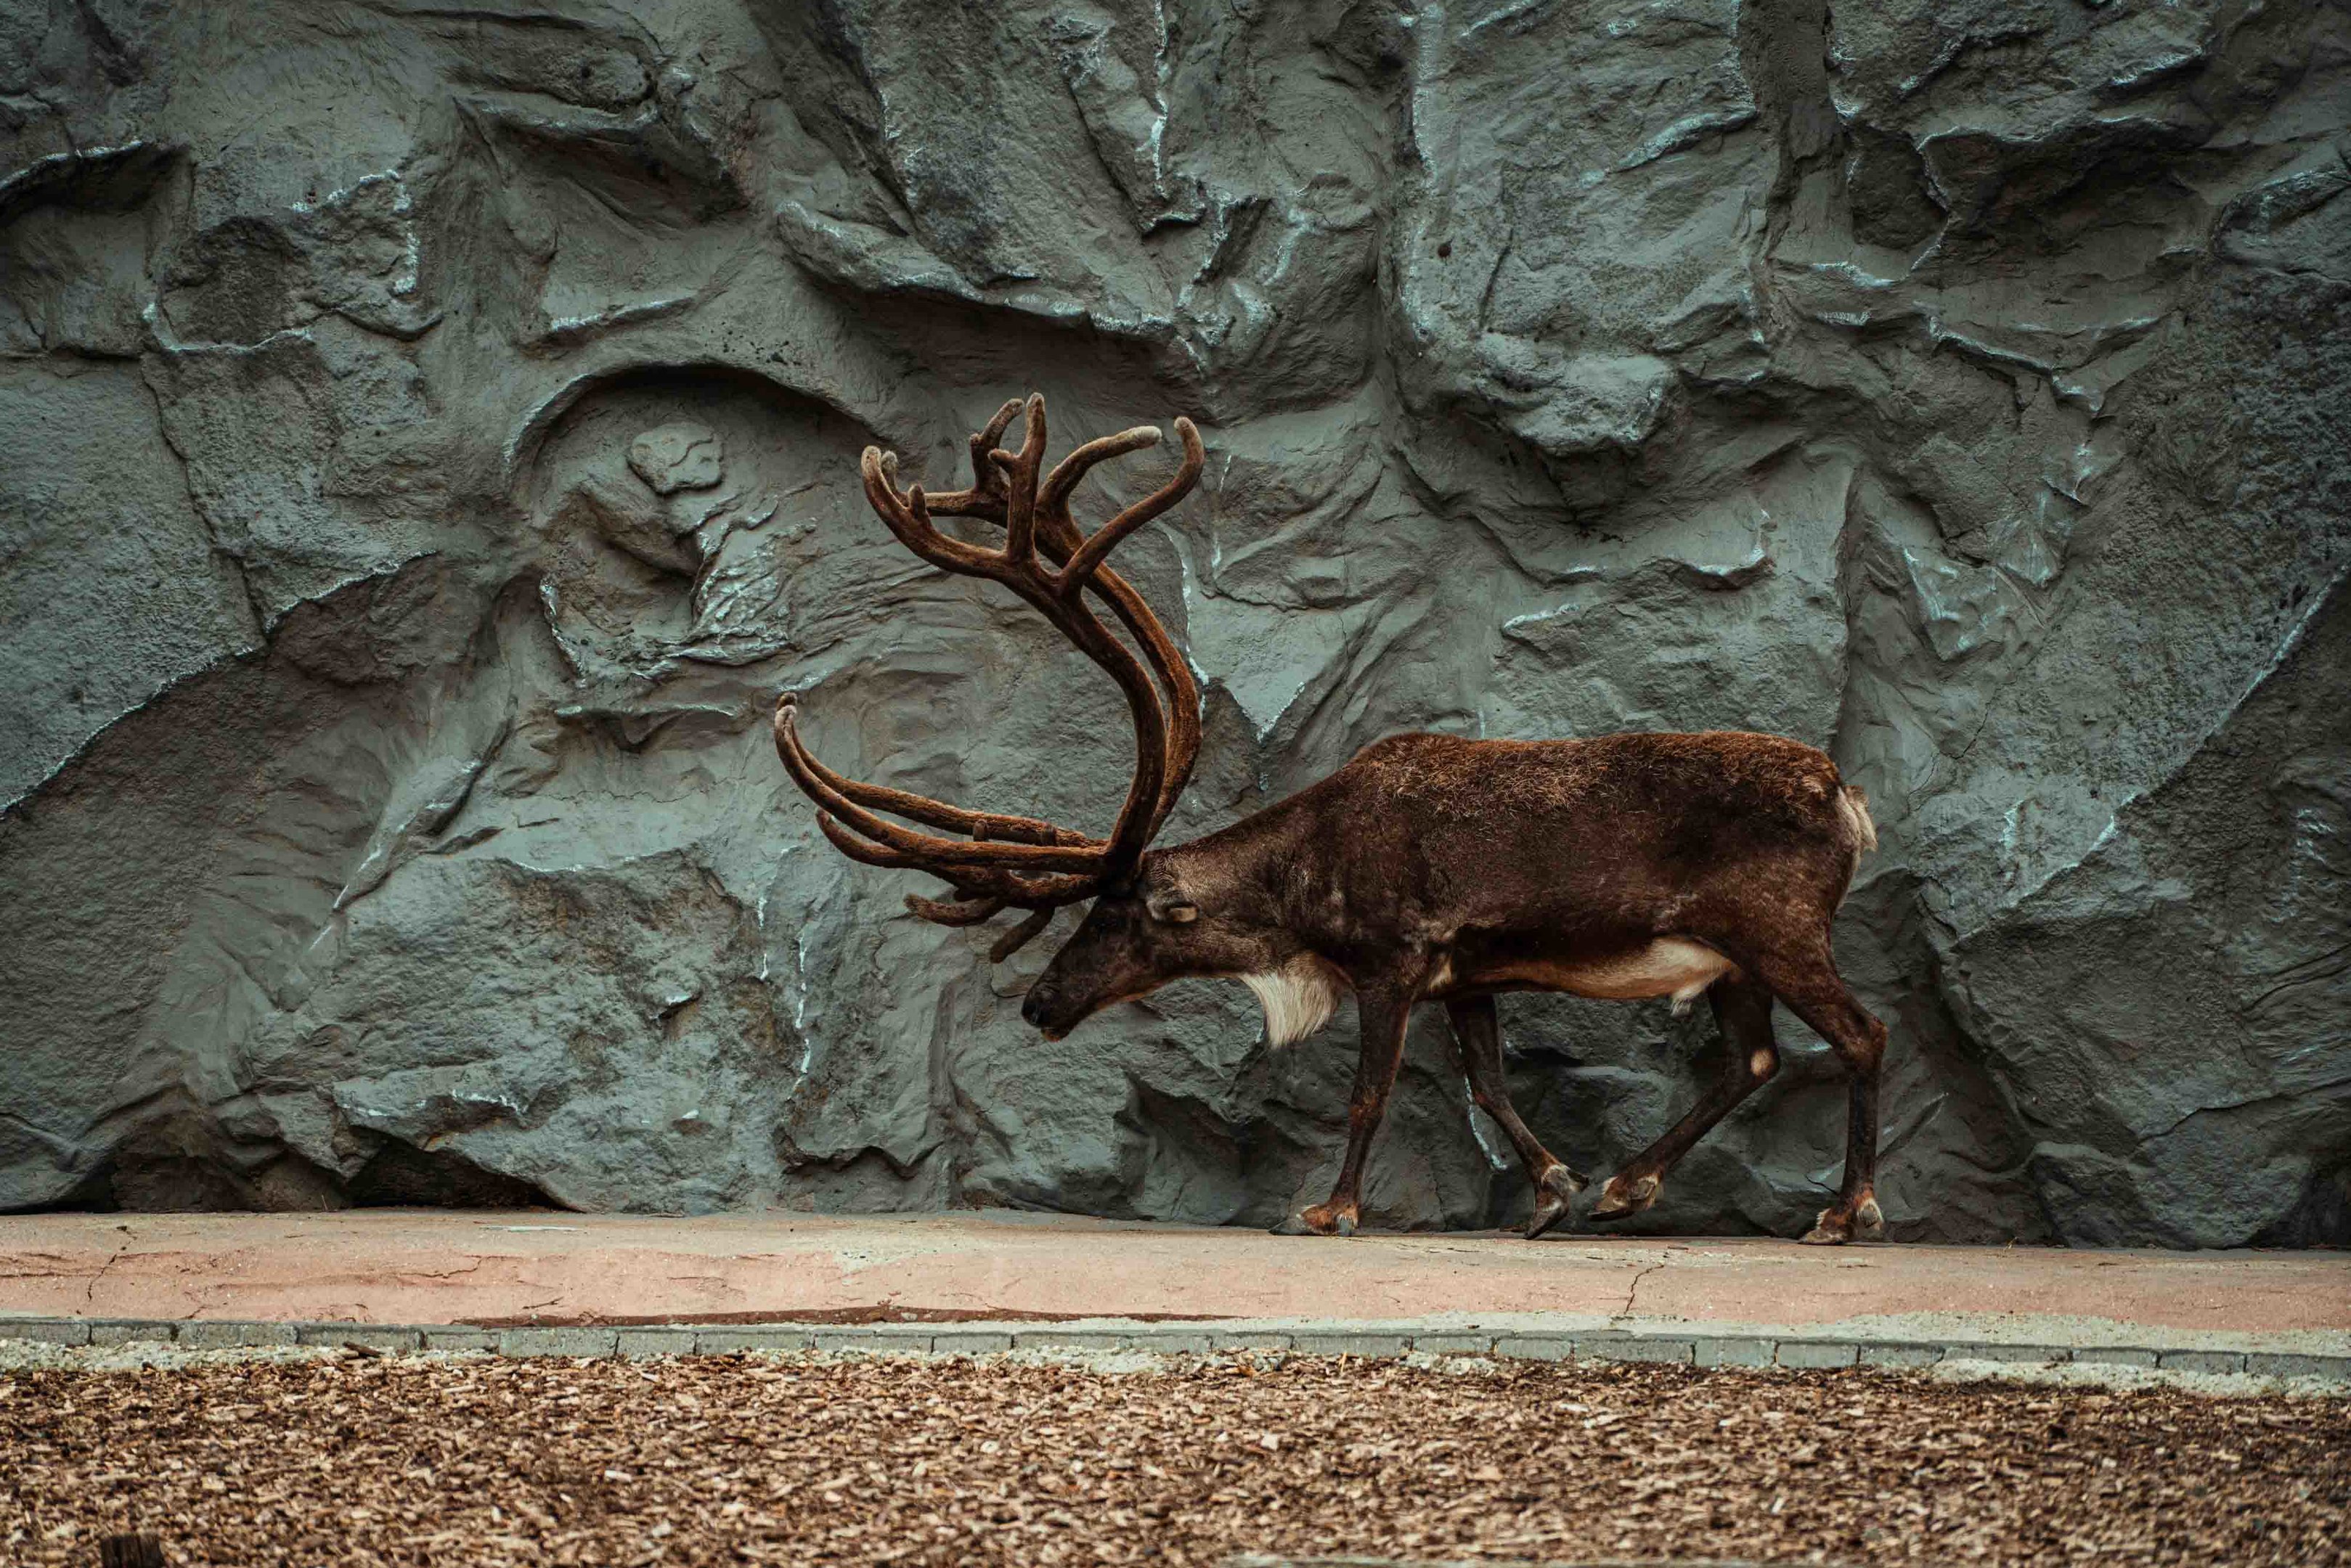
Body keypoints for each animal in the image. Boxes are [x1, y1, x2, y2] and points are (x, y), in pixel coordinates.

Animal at [773, 393, 1889, 1246]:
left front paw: (1331, 1208)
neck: (1298, 895)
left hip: (1779, 929)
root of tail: (1848, 795)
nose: (1041, 1005)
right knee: (1754, 1059)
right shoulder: (1466, 974)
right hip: (1730, 958)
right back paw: (1630, 1184)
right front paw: (1553, 1190)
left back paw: (1844, 1213)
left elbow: (1368, 1091)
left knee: (1861, 1033)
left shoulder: (1394, 958)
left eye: (1118, 915)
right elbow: (1489, 1087)